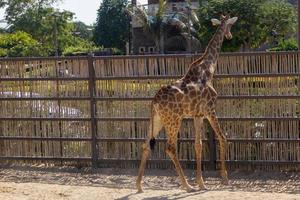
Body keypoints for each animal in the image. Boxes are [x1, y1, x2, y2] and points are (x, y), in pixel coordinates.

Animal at [137, 14, 238, 193]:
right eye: (230, 25)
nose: (229, 36)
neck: (208, 68)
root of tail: (154, 101)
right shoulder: (210, 110)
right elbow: (222, 138)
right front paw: (225, 179)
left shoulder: (197, 115)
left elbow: (198, 145)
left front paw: (201, 182)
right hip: (173, 120)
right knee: (170, 147)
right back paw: (186, 185)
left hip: (157, 119)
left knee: (146, 144)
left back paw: (139, 186)